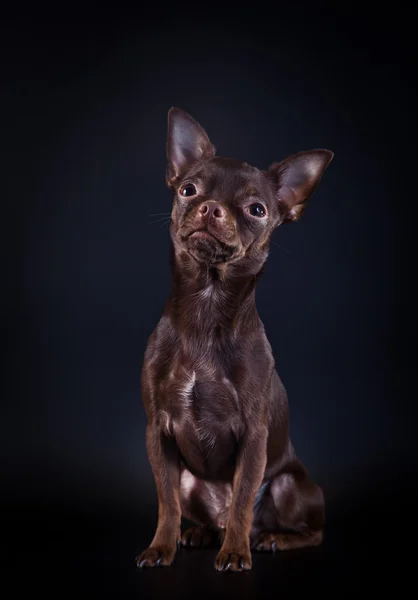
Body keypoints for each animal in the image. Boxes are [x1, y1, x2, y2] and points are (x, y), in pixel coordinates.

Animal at [136, 108, 334, 572]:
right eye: (188, 190)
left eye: (256, 209)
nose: (210, 207)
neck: (206, 309)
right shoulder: (158, 433)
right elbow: (166, 503)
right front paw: (161, 546)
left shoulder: (253, 438)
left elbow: (243, 497)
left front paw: (235, 554)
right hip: (191, 481)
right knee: (197, 510)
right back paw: (200, 533)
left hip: (289, 486)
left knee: (306, 528)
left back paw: (269, 539)